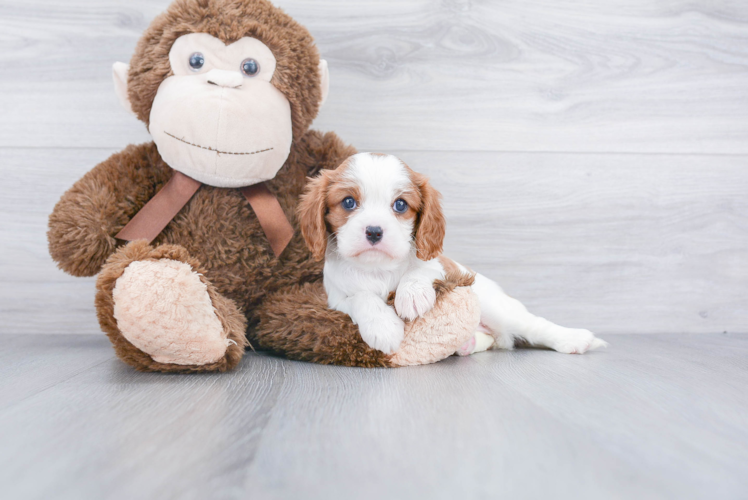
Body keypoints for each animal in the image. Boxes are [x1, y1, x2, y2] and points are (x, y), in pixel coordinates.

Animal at [296, 152, 604, 356]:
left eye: (400, 205)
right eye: (348, 202)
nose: (374, 231)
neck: (378, 269)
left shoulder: (443, 266)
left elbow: (424, 268)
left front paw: (412, 294)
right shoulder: (335, 300)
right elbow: (362, 298)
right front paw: (383, 327)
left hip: (496, 307)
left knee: (535, 326)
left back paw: (575, 339)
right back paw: (468, 344)